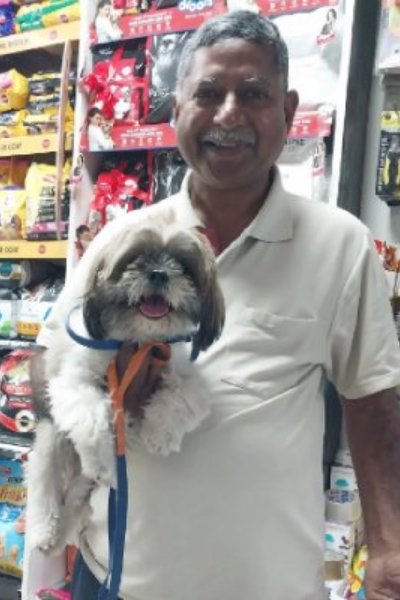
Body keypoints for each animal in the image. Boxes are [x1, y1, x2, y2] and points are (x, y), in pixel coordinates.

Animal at [26, 215, 225, 555]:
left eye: (183, 265)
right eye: (135, 258)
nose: (158, 273)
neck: (139, 341)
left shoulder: (185, 375)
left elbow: (182, 398)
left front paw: (158, 434)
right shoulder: (74, 382)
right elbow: (91, 419)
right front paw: (104, 460)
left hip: (79, 482)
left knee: (76, 494)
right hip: (52, 440)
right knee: (44, 483)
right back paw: (45, 531)